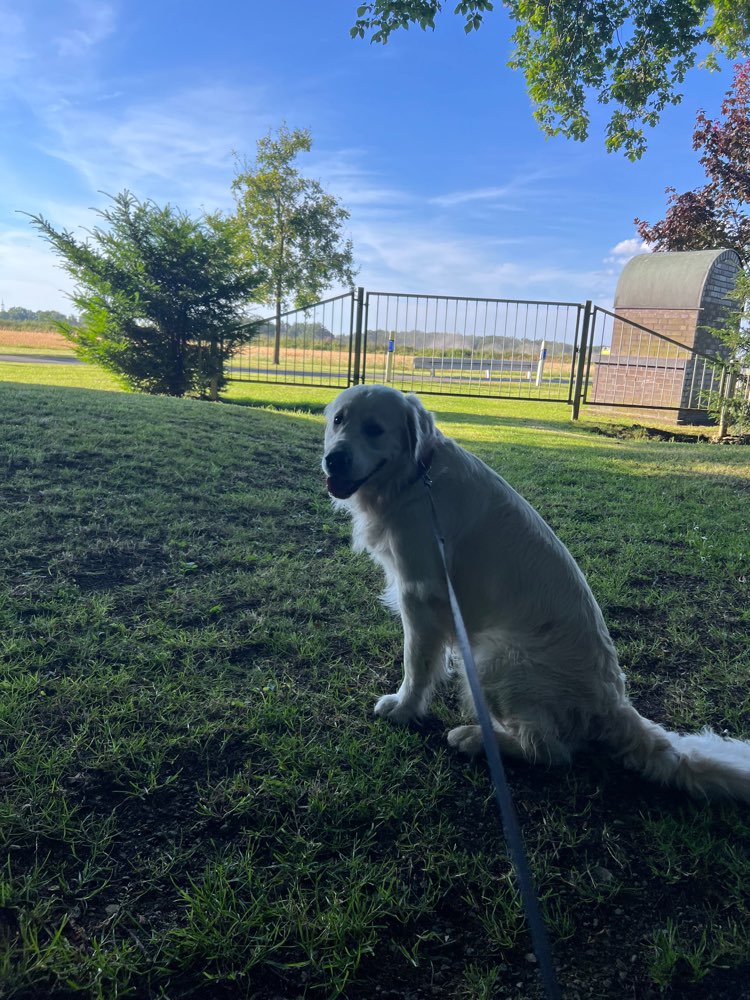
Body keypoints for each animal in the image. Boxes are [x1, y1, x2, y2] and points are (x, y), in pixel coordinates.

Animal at [324, 384, 750, 804]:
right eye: (338, 420)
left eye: (375, 429)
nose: (333, 459)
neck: (417, 477)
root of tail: (612, 703)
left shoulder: (420, 595)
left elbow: (416, 663)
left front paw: (403, 708)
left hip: (493, 656)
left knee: (549, 751)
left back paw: (473, 738)